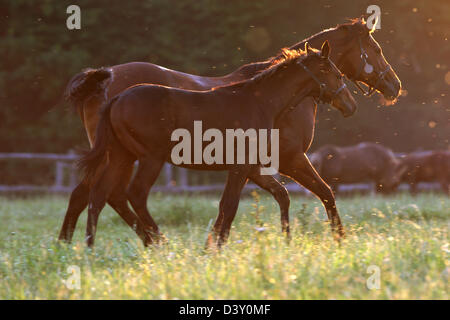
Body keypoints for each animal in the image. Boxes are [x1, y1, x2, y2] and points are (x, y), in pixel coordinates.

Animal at [59, 18, 400, 245]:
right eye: (375, 48)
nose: (394, 86)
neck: (263, 99)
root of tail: (109, 87)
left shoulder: (254, 167)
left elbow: (275, 197)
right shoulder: (288, 159)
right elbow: (322, 192)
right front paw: (339, 238)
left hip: (119, 155)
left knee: (95, 194)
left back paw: (76, 245)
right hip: (145, 158)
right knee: (123, 194)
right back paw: (155, 243)